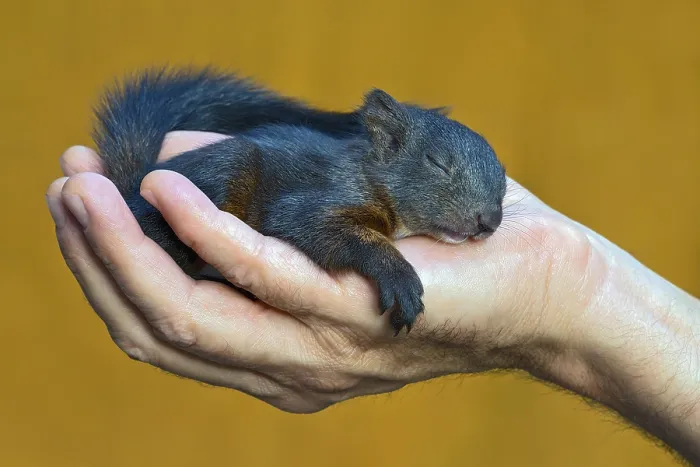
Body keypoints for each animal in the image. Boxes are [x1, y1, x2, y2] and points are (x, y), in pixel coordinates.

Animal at [92, 68, 507, 335]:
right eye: (436, 162)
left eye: (504, 179)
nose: (488, 222)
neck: (369, 174)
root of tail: (134, 190)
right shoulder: (316, 199)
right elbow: (324, 228)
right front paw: (399, 277)